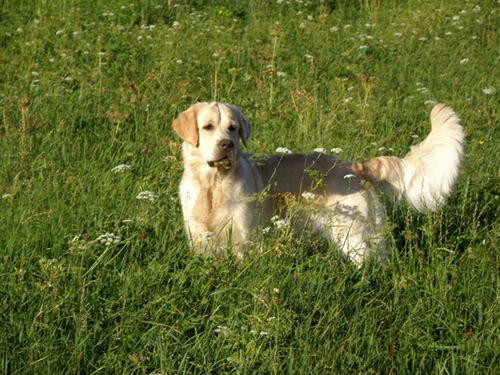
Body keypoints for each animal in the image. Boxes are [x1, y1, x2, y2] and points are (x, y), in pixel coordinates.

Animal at [173, 101, 464, 262]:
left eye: (233, 128)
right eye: (208, 127)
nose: (227, 145)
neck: (213, 185)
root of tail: (353, 166)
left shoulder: (245, 240)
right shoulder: (199, 239)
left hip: (354, 236)